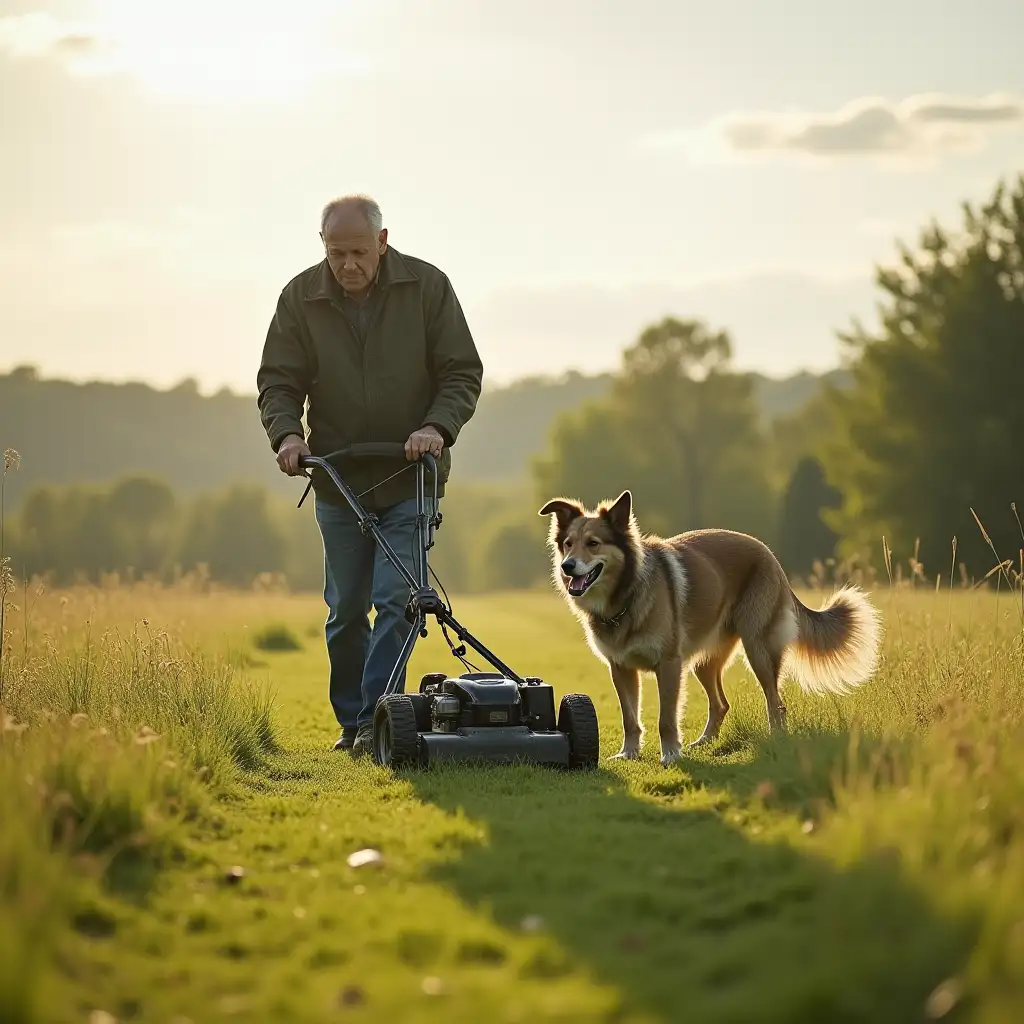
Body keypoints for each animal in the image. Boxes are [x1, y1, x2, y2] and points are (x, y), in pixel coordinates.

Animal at [540, 491, 884, 765]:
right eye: (568, 544)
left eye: (593, 544)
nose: (567, 566)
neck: (625, 596)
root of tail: (770, 555)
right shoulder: (621, 668)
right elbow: (629, 718)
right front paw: (629, 753)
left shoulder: (669, 665)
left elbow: (666, 719)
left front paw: (670, 755)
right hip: (703, 663)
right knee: (720, 704)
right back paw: (704, 742)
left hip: (758, 650)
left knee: (776, 703)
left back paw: (775, 738)